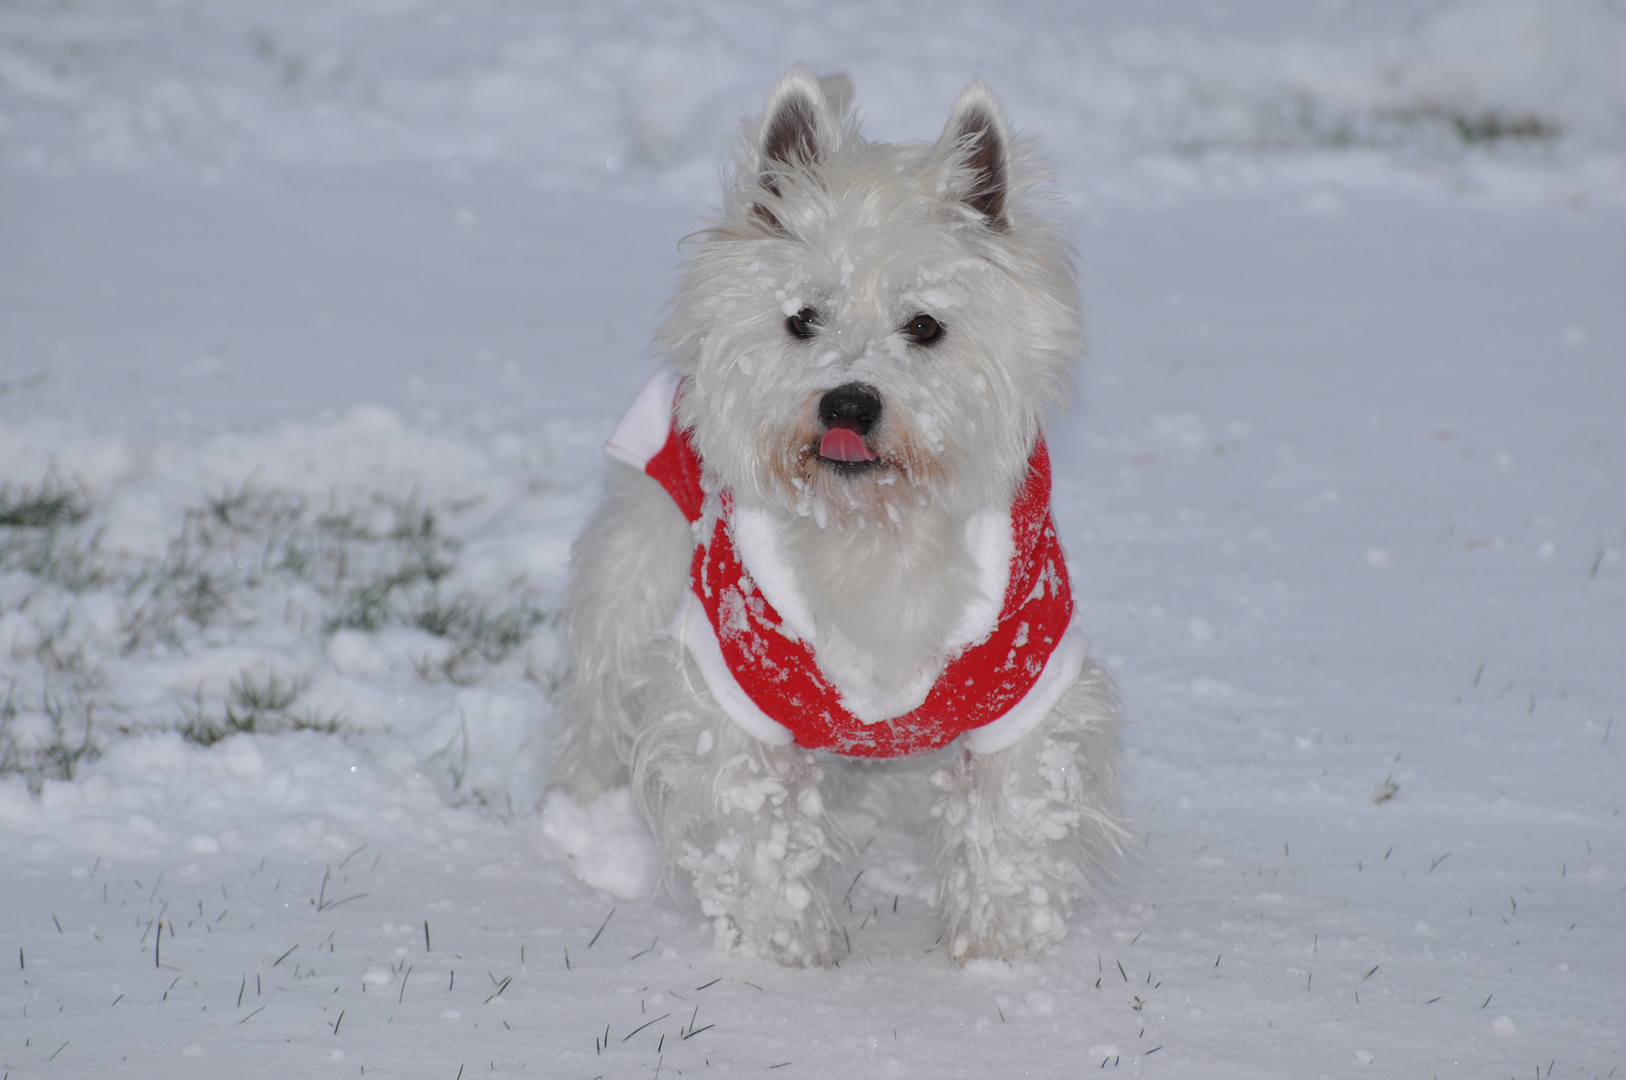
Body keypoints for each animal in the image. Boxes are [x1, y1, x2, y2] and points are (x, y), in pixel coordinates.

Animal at [546, 65, 1118, 962]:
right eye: (801, 318)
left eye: (926, 325)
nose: (848, 401)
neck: (870, 534)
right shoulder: (733, 684)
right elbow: (757, 824)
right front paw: (788, 953)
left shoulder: (1028, 675)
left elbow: (1016, 813)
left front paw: (998, 950)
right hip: (641, 550)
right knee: (602, 684)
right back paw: (581, 813)